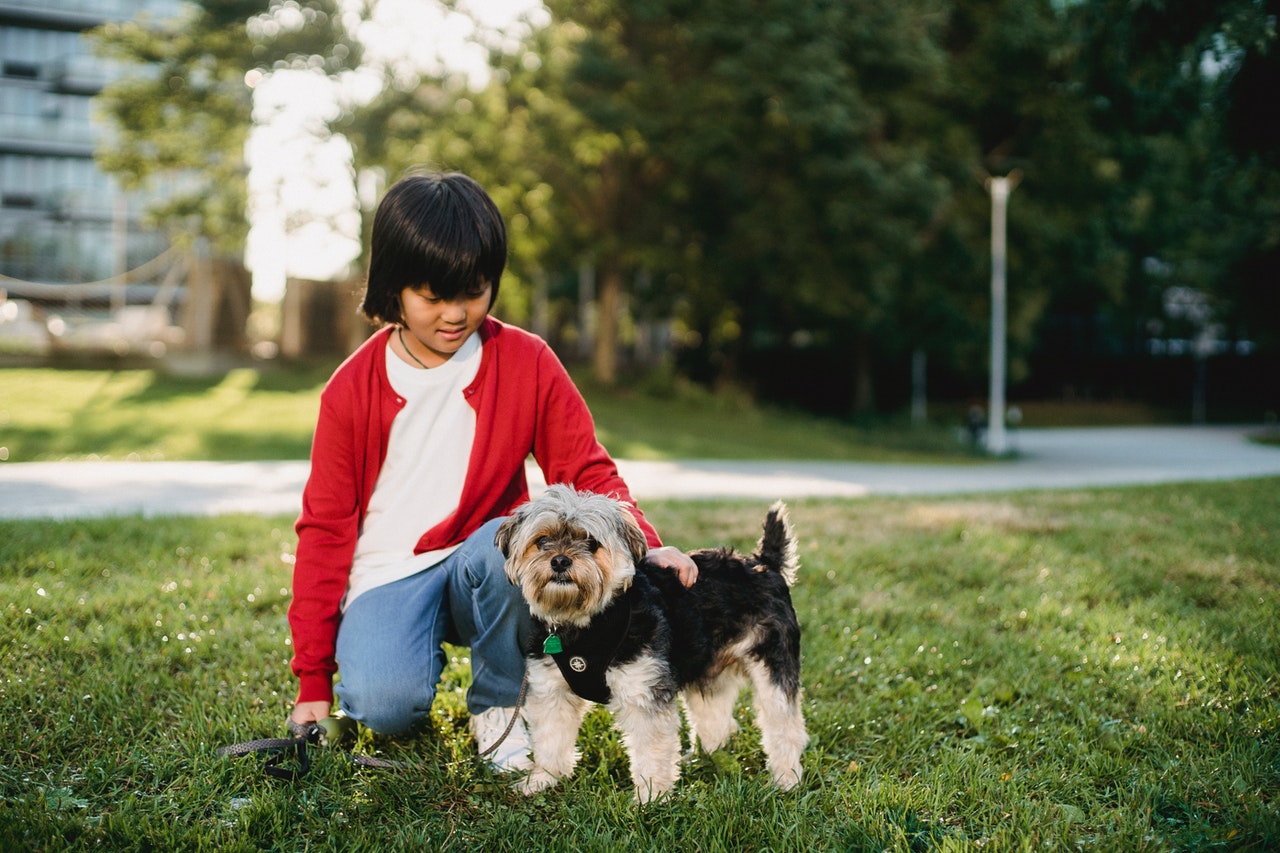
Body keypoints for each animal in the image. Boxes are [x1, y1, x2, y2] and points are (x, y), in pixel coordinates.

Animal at [494, 481, 803, 799]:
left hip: (773, 665)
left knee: (785, 726)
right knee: (715, 718)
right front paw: (542, 780)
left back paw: (786, 780)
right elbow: (550, 739)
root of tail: (765, 563)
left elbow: (652, 749)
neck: (585, 624)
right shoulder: (551, 691)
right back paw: (701, 759)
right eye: (542, 540)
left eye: (592, 543)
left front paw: (651, 797)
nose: (559, 560)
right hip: (708, 669)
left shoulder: (644, 692)